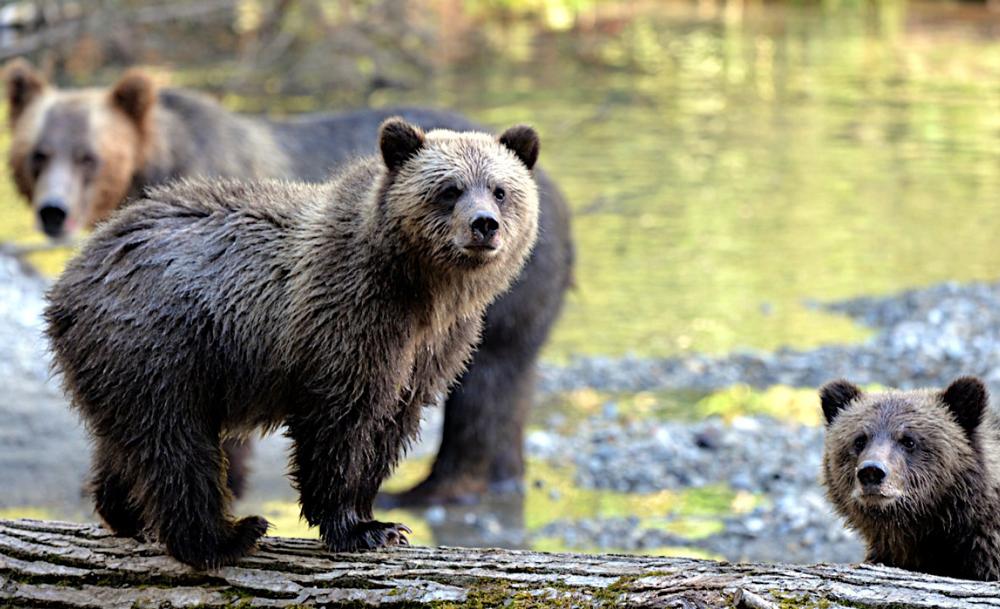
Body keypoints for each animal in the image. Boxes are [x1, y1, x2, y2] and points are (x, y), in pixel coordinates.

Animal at [47, 116, 544, 568]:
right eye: (449, 189)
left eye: (500, 189)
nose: (484, 225)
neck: (424, 288)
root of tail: (71, 278)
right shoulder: (345, 321)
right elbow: (338, 426)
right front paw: (357, 527)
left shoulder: (433, 348)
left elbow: (391, 426)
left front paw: (380, 521)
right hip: (158, 340)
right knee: (176, 445)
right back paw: (226, 535)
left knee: (127, 440)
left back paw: (128, 515)